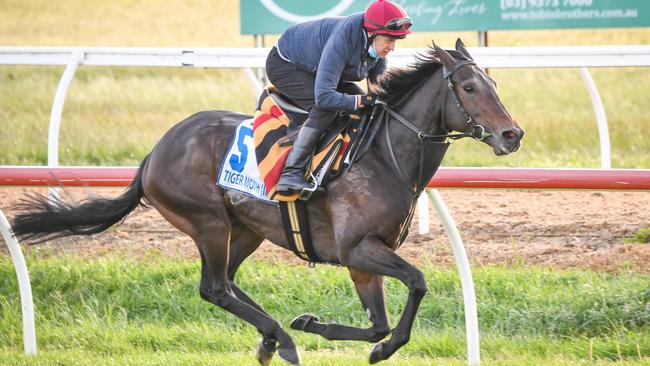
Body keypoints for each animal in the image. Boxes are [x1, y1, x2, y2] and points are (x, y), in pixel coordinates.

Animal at [11, 39, 520, 364]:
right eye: (469, 88)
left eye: (495, 83)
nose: (512, 135)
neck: (382, 155)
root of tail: (154, 153)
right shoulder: (358, 249)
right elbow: (416, 281)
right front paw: (331, 333)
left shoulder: (363, 258)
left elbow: (379, 321)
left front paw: (351, 337)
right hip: (209, 222)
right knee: (214, 288)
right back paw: (281, 339)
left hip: (246, 229)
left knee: (228, 283)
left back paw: (271, 339)